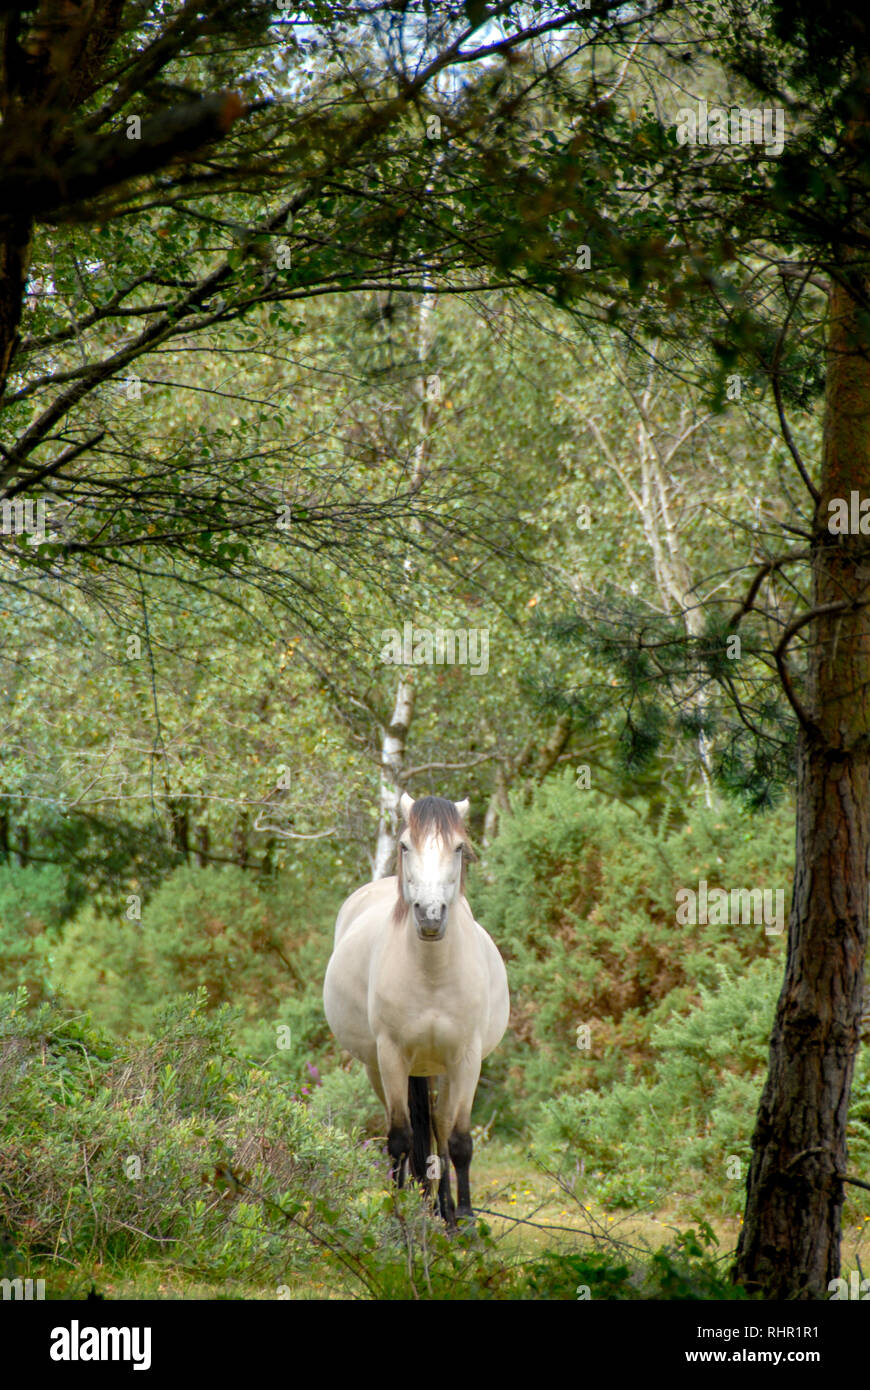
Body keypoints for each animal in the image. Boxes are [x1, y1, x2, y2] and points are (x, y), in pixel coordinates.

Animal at [323, 792, 509, 1226]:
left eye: (458, 848)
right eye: (406, 846)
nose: (430, 915)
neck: (433, 976)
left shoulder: (466, 1058)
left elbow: (458, 1139)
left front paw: (466, 1221)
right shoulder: (391, 1055)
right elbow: (400, 1138)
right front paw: (400, 1216)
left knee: (439, 1125)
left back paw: (444, 1211)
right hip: (379, 1067)